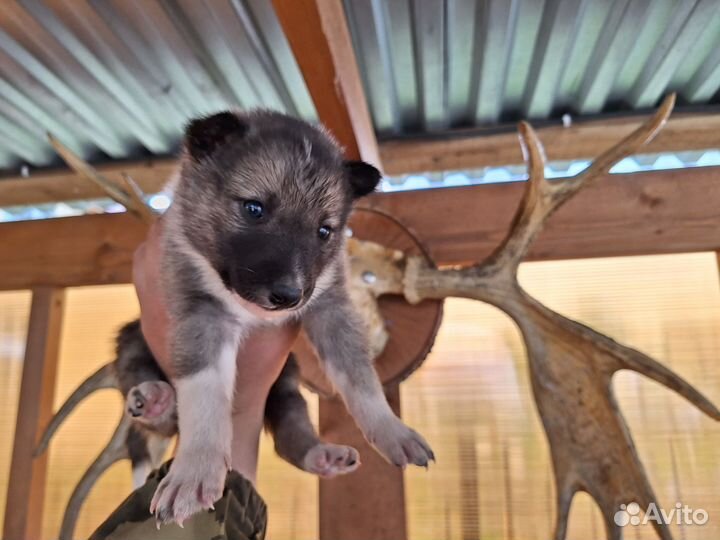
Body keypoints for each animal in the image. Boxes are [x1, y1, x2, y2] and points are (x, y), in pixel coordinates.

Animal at [152, 108, 434, 524]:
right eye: (254, 208)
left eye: (324, 231)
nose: (289, 296)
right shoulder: (199, 313)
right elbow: (204, 395)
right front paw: (194, 472)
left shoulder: (331, 307)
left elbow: (360, 377)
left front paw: (391, 431)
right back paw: (151, 399)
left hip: (286, 384)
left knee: (291, 426)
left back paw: (322, 455)